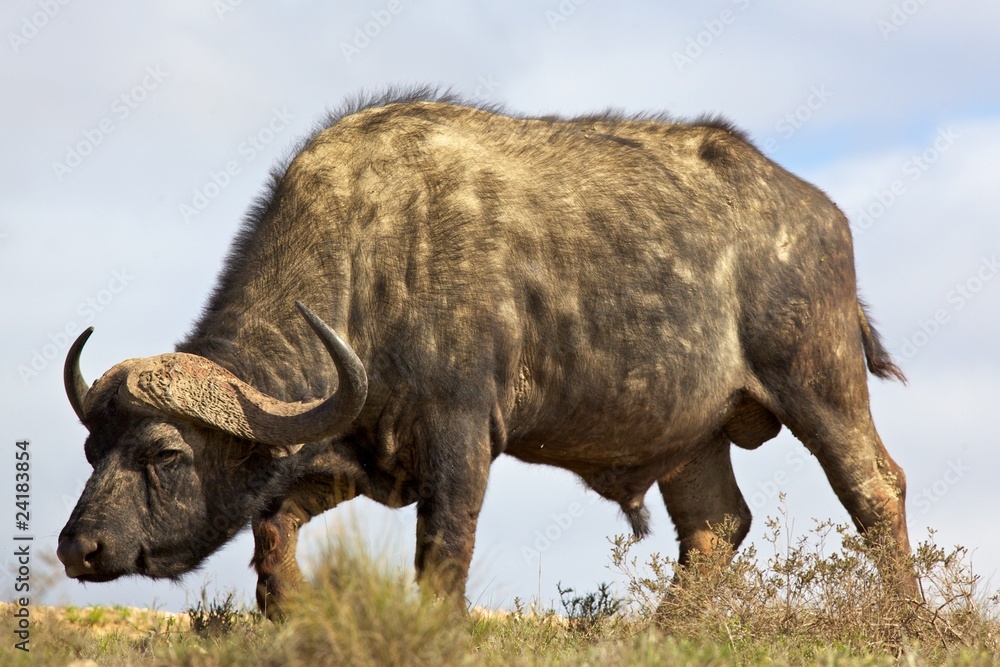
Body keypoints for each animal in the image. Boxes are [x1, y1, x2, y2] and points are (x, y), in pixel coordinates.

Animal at [58, 89, 915, 618]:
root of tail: (821, 213)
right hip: (693, 437)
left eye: (165, 453)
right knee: (716, 526)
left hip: (819, 381)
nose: (79, 547)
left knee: (875, 490)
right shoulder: (351, 453)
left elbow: (444, 553)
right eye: (94, 449)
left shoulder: (460, 436)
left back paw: (909, 620)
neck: (373, 262)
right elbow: (272, 529)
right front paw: (287, 609)